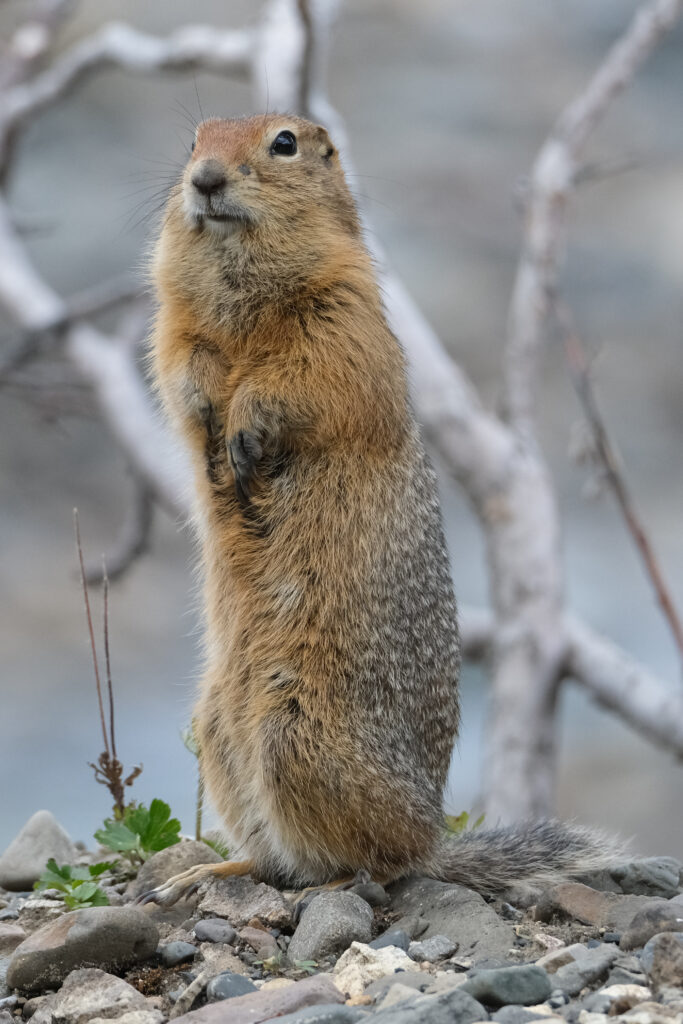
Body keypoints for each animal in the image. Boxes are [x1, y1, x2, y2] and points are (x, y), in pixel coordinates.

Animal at [147, 116, 618, 909]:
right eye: (191, 141)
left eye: (283, 142)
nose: (205, 179)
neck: (241, 295)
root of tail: (433, 835)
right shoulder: (178, 324)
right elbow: (184, 366)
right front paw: (212, 414)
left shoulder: (343, 313)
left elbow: (306, 377)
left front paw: (245, 427)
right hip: (218, 728)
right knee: (276, 856)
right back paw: (207, 872)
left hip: (295, 734)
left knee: (372, 863)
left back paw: (331, 880)